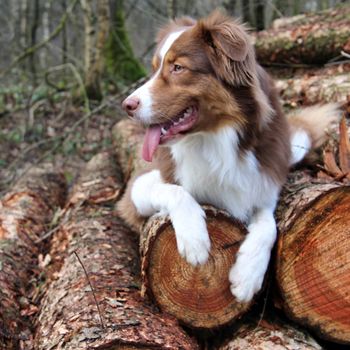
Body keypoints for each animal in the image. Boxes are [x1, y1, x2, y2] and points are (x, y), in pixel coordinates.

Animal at [118, 11, 340, 304]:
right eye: (155, 68)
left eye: (177, 67)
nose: (127, 106)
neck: (214, 140)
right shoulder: (139, 186)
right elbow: (177, 192)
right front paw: (195, 240)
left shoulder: (262, 182)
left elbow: (269, 225)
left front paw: (247, 276)